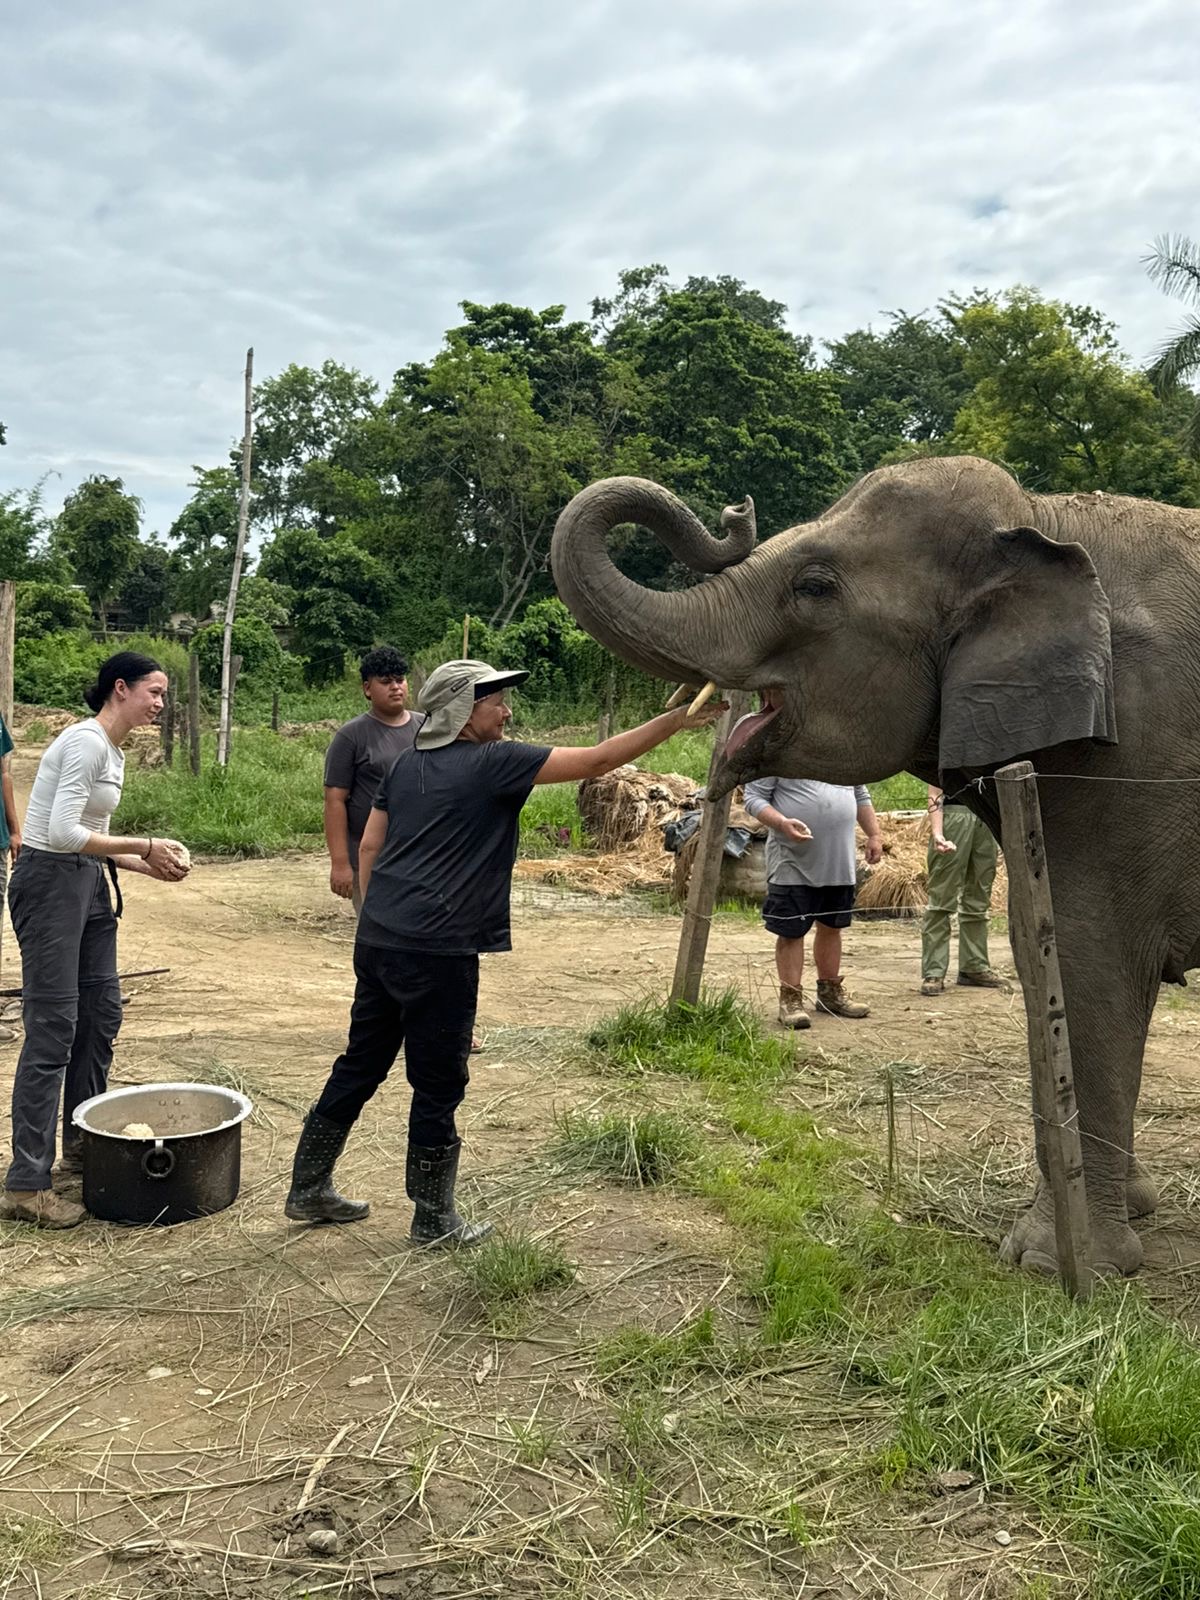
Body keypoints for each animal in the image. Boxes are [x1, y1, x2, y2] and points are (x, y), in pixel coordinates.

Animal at [550, 456, 1200, 1278]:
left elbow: (1092, 961)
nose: (735, 512)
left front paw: (1054, 1263)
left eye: (815, 587)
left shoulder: (1135, 760)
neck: (1044, 518)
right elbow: (1051, 960)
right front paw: (1127, 1215)